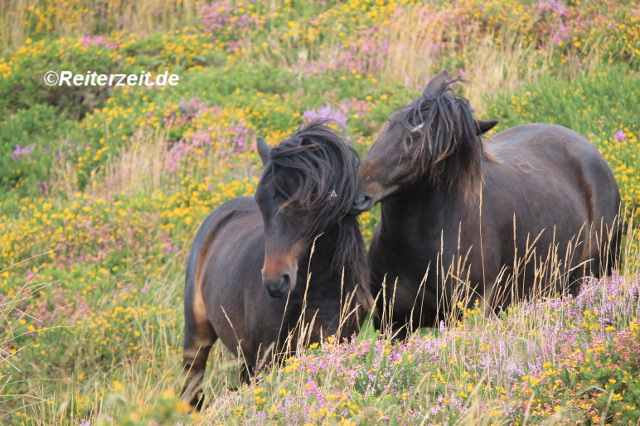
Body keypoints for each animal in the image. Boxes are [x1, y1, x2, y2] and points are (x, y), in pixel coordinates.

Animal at [181, 121, 370, 408]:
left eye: (307, 201)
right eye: (261, 200)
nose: (274, 281)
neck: (318, 288)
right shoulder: (267, 358)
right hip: (198, 336)